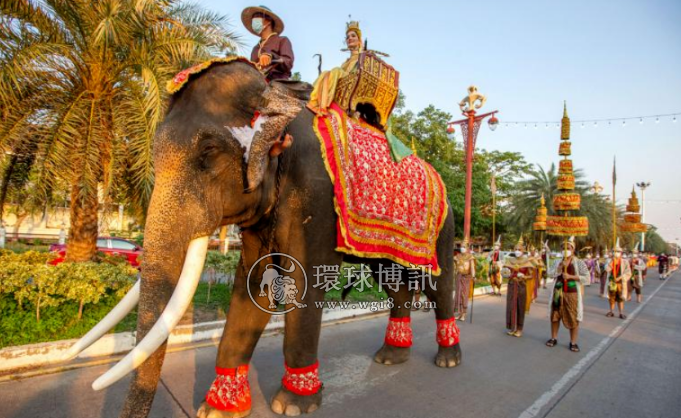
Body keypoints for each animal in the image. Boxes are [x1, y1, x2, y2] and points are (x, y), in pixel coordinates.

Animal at [67, 58, 462, 418]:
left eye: (208, 153)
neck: (278, 97)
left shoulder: (315, 195)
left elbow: (305, 282)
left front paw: (292, 405)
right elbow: (253, 285)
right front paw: (219, 409)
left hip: (443, 226)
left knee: (436, 283)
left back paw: (447, 360)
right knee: (394, 281)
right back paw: (391, 357)